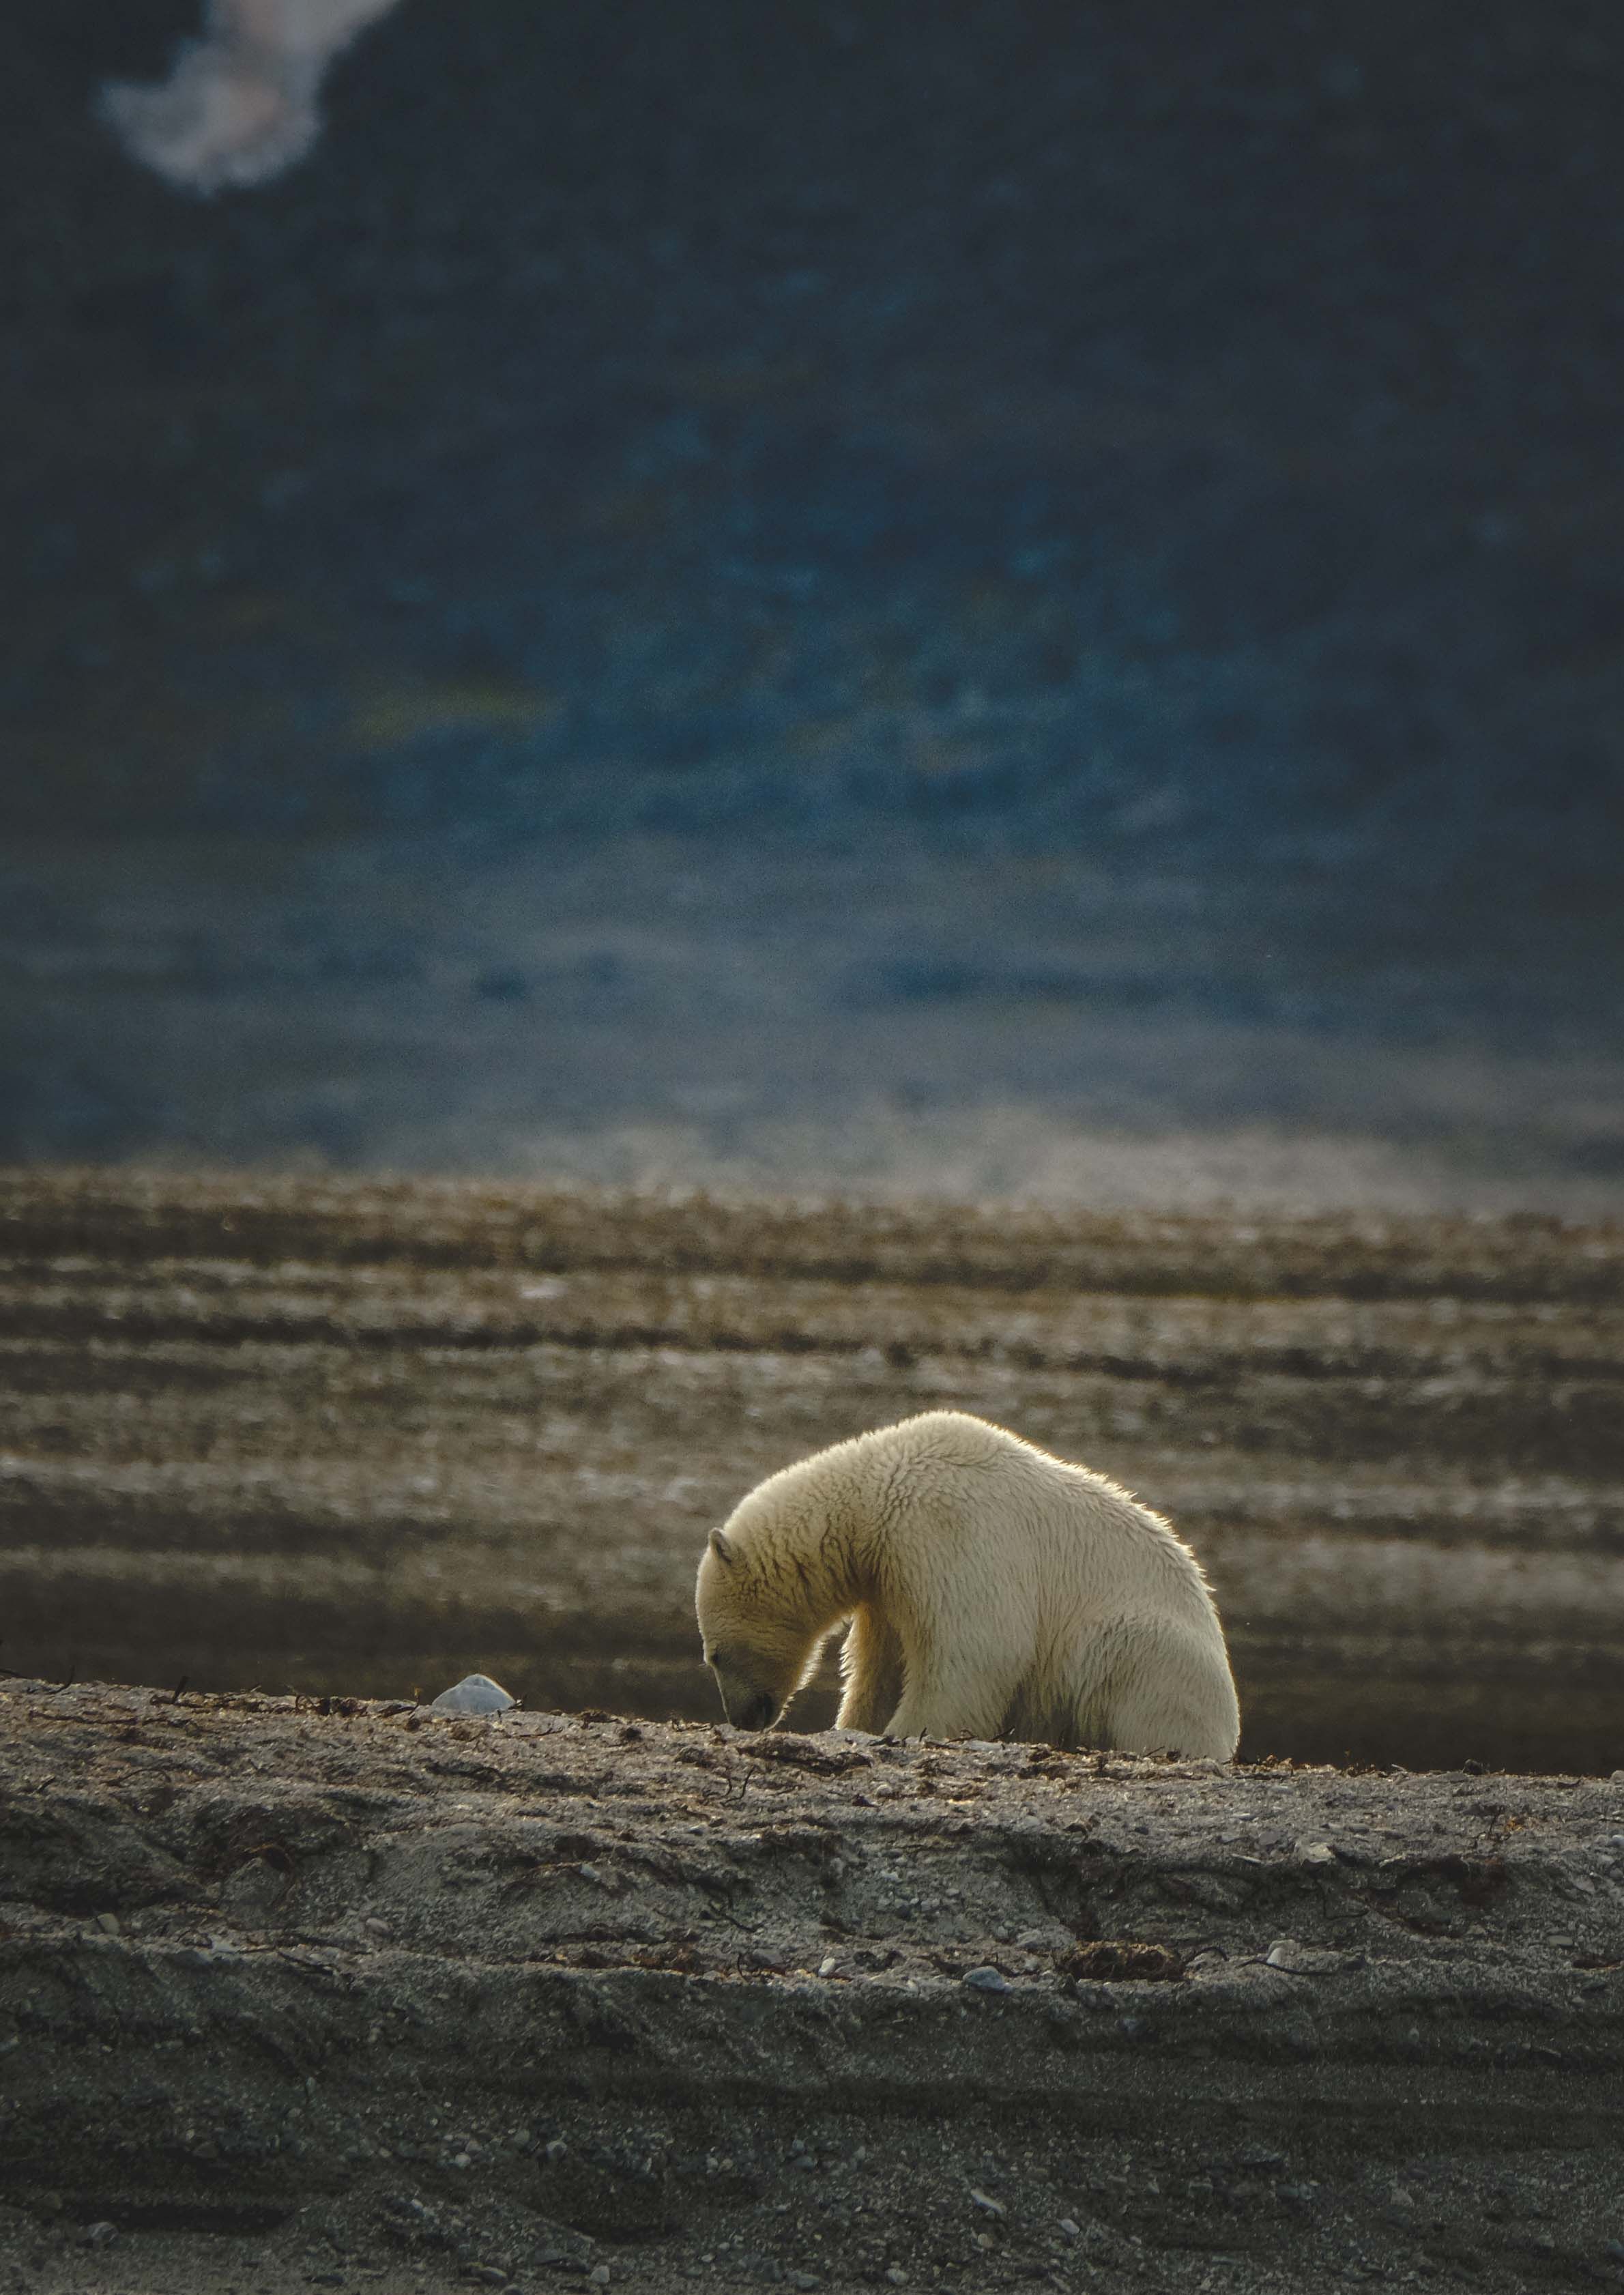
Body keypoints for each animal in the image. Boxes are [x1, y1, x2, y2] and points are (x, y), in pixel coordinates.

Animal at [695, 1409, 1239, 1758]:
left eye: (714, 1655)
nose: (741, 1717)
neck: (876, 1495)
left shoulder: (944, 1529)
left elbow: (977, 1648)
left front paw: (910, 1730)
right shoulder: (887, 1579)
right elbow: (879, 1666)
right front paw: (857, 1724)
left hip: (1146, 1647)